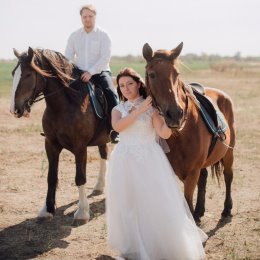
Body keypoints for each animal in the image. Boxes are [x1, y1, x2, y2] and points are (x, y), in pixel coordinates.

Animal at [9, 47, 109, 223]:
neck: (65, 105)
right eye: (14, 73)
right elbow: (51, 177)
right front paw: (47, 209)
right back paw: (99, 187)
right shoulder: (51, 145)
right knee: (104, 155)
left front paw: (82, 212)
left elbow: (80, 177)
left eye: (28, 74)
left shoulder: (80, 148)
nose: (15, 109)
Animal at [142, 42, 236, 221]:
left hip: (229, 153)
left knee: (228, 176)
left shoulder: (192, 172)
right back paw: (200, 211)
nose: (175, 114)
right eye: (151, 74)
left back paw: (227, 209)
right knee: (204, 179)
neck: (181, 134)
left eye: (176, 74)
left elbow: (187, 200)